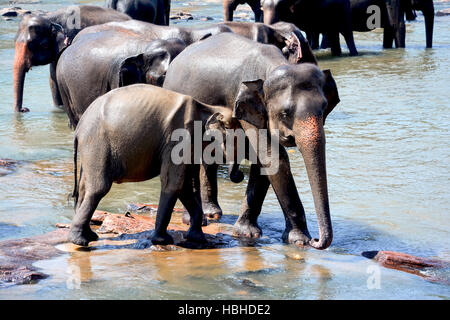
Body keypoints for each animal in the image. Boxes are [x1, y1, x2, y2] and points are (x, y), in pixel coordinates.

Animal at [69, 84, 241, 246]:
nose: (239, 176)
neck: (207, 108)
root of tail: (78, 128)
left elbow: (185, 187)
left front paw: (198, 239)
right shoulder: (178, 138)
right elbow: (173, 183)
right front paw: (163, 240)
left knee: (84, 189)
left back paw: (89, 236)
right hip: (97, 144)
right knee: (98, 188)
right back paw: (80, 241)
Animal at [163, 32, 340, 249]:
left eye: (324, 108)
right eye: (285, 113)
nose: (316, 240)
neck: (273, 66)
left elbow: (264, 161)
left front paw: (247, 233)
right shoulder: (246, 107)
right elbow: (274, 157)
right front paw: (300, 240)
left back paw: (212, 214)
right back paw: (197, 220)